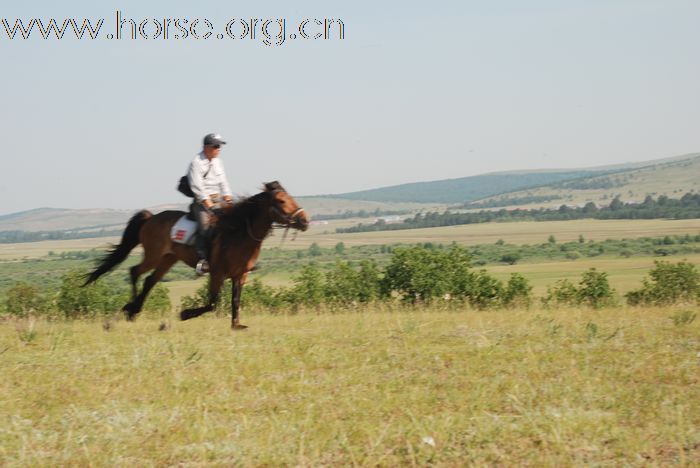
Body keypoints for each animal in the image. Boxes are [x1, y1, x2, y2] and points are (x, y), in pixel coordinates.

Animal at [83, 180, 308, 330]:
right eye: (280, 201)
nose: (304, 221)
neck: (239, 233)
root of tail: (151, 217)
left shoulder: (240, 275)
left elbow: (235, 300)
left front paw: (236, 324)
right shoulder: (217, 273)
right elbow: (213, 303)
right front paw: (185, 314)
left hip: (168, 258)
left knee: (150, 280)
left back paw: (135, 310)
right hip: (154, 255)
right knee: (135, 271)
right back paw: (130, 308)